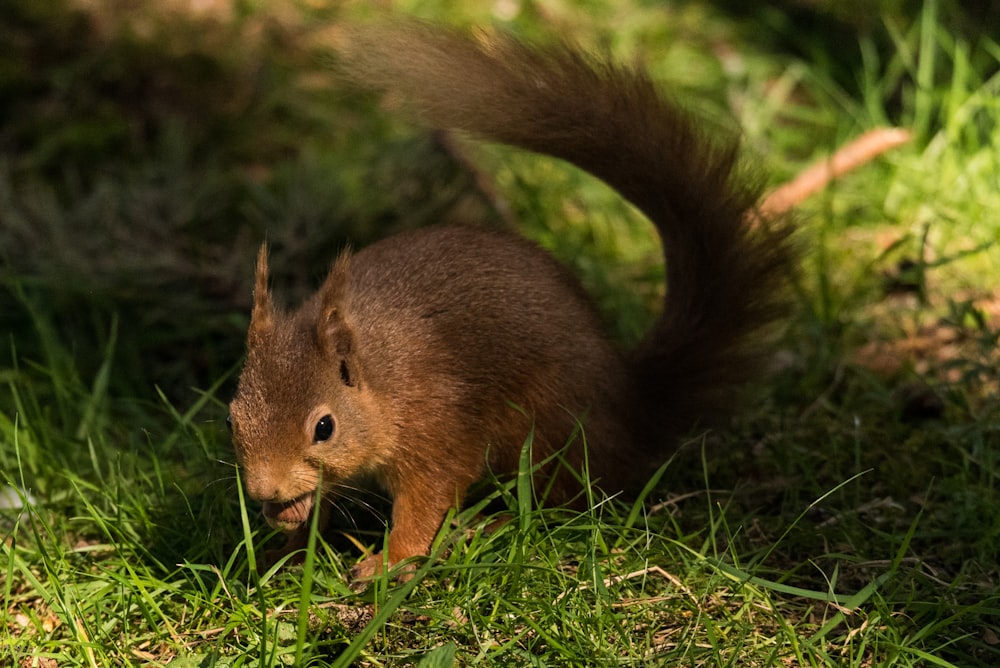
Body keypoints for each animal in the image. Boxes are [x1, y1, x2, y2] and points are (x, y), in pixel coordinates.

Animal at [225, 22, 796, 580]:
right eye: (232, 418)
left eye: (324, 427)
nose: (265, 492)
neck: (382, 376)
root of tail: (633, 408)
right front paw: (286, 543)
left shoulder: (438, 422)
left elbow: (428, 498)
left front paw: (393, 561)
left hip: (548, 431)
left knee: (565, 501)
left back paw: (495, 526)